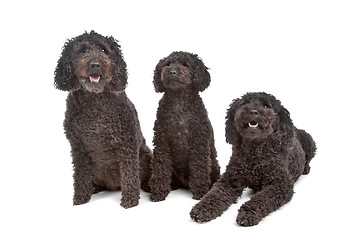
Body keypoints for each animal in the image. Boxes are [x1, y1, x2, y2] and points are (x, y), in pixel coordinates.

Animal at [53, 31, 152, 208]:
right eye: (83, 50)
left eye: (104, 50)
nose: (95, 64)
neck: (95, 103)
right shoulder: (78, 147)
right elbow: (80, 175)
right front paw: (80, 197)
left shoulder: (127, 144)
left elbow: (130, 174)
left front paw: (130, 199)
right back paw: (93, 188)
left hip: (145, 156)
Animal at [148, 51, 219, 202]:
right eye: (167, 64)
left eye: (186, 65)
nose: (172, 72)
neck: (179, 101)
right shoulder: (162, 142)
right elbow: (160, 167)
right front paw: (159, 192)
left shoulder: (199, 143)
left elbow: (199, 168)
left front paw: (200, 191)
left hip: (213, 164)